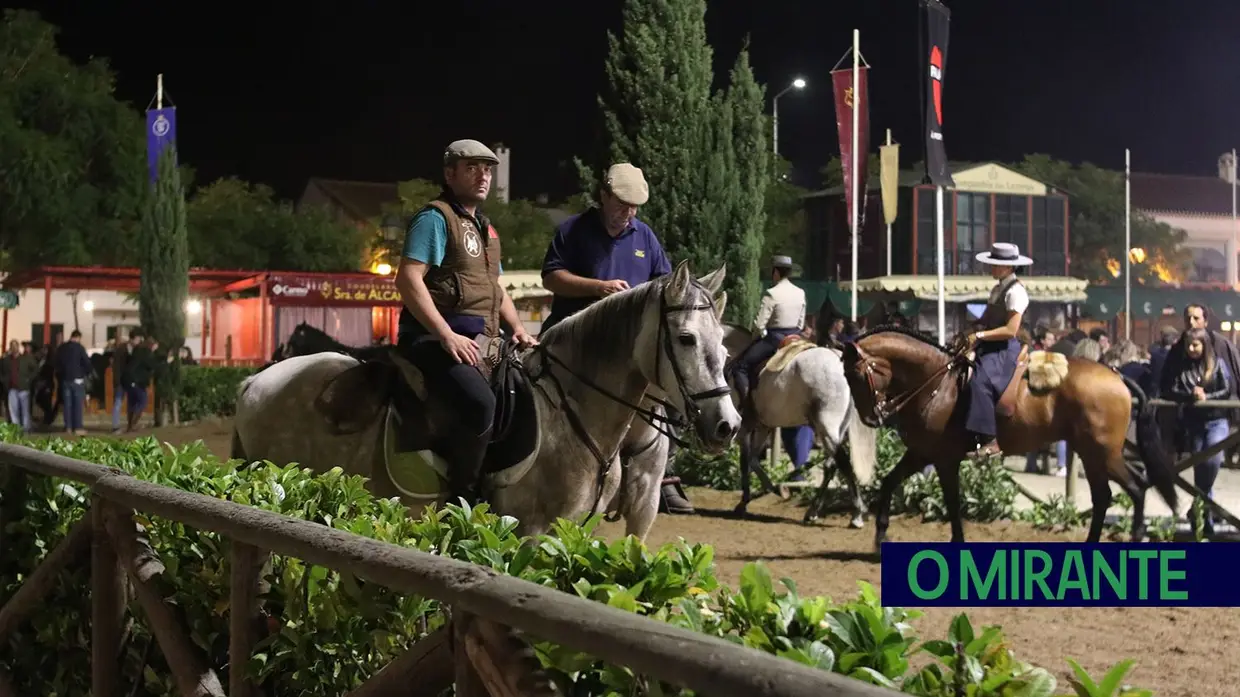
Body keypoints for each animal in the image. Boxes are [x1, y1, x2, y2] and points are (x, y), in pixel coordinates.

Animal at [229, 260, 739, 538]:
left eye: (725, 343)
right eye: (687, 338)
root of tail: (256, 383)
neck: (570, 414)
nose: (726, 425)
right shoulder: (532, 532)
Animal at [724, 324, 877, 525]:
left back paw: (857, 514)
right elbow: (753, 460)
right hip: (835, 430)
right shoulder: (763, 426)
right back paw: (812, 511)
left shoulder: (744, 428)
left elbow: (745, 461)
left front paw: (746, 501)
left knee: (842, 463)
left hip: (826, 428)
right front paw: (772, 489)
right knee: (831, 465)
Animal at [838, 324, 1175, 548]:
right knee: (1114, 493)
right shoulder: (921, 453)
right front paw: (880, 536)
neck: (936, 384)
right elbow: (888, 483)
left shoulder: (944, 460)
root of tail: (1117, 375)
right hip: (1094, 454)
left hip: (1100, 453)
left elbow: (952, 502)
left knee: (1130, 489)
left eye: (857, 374)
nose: (871, 418)